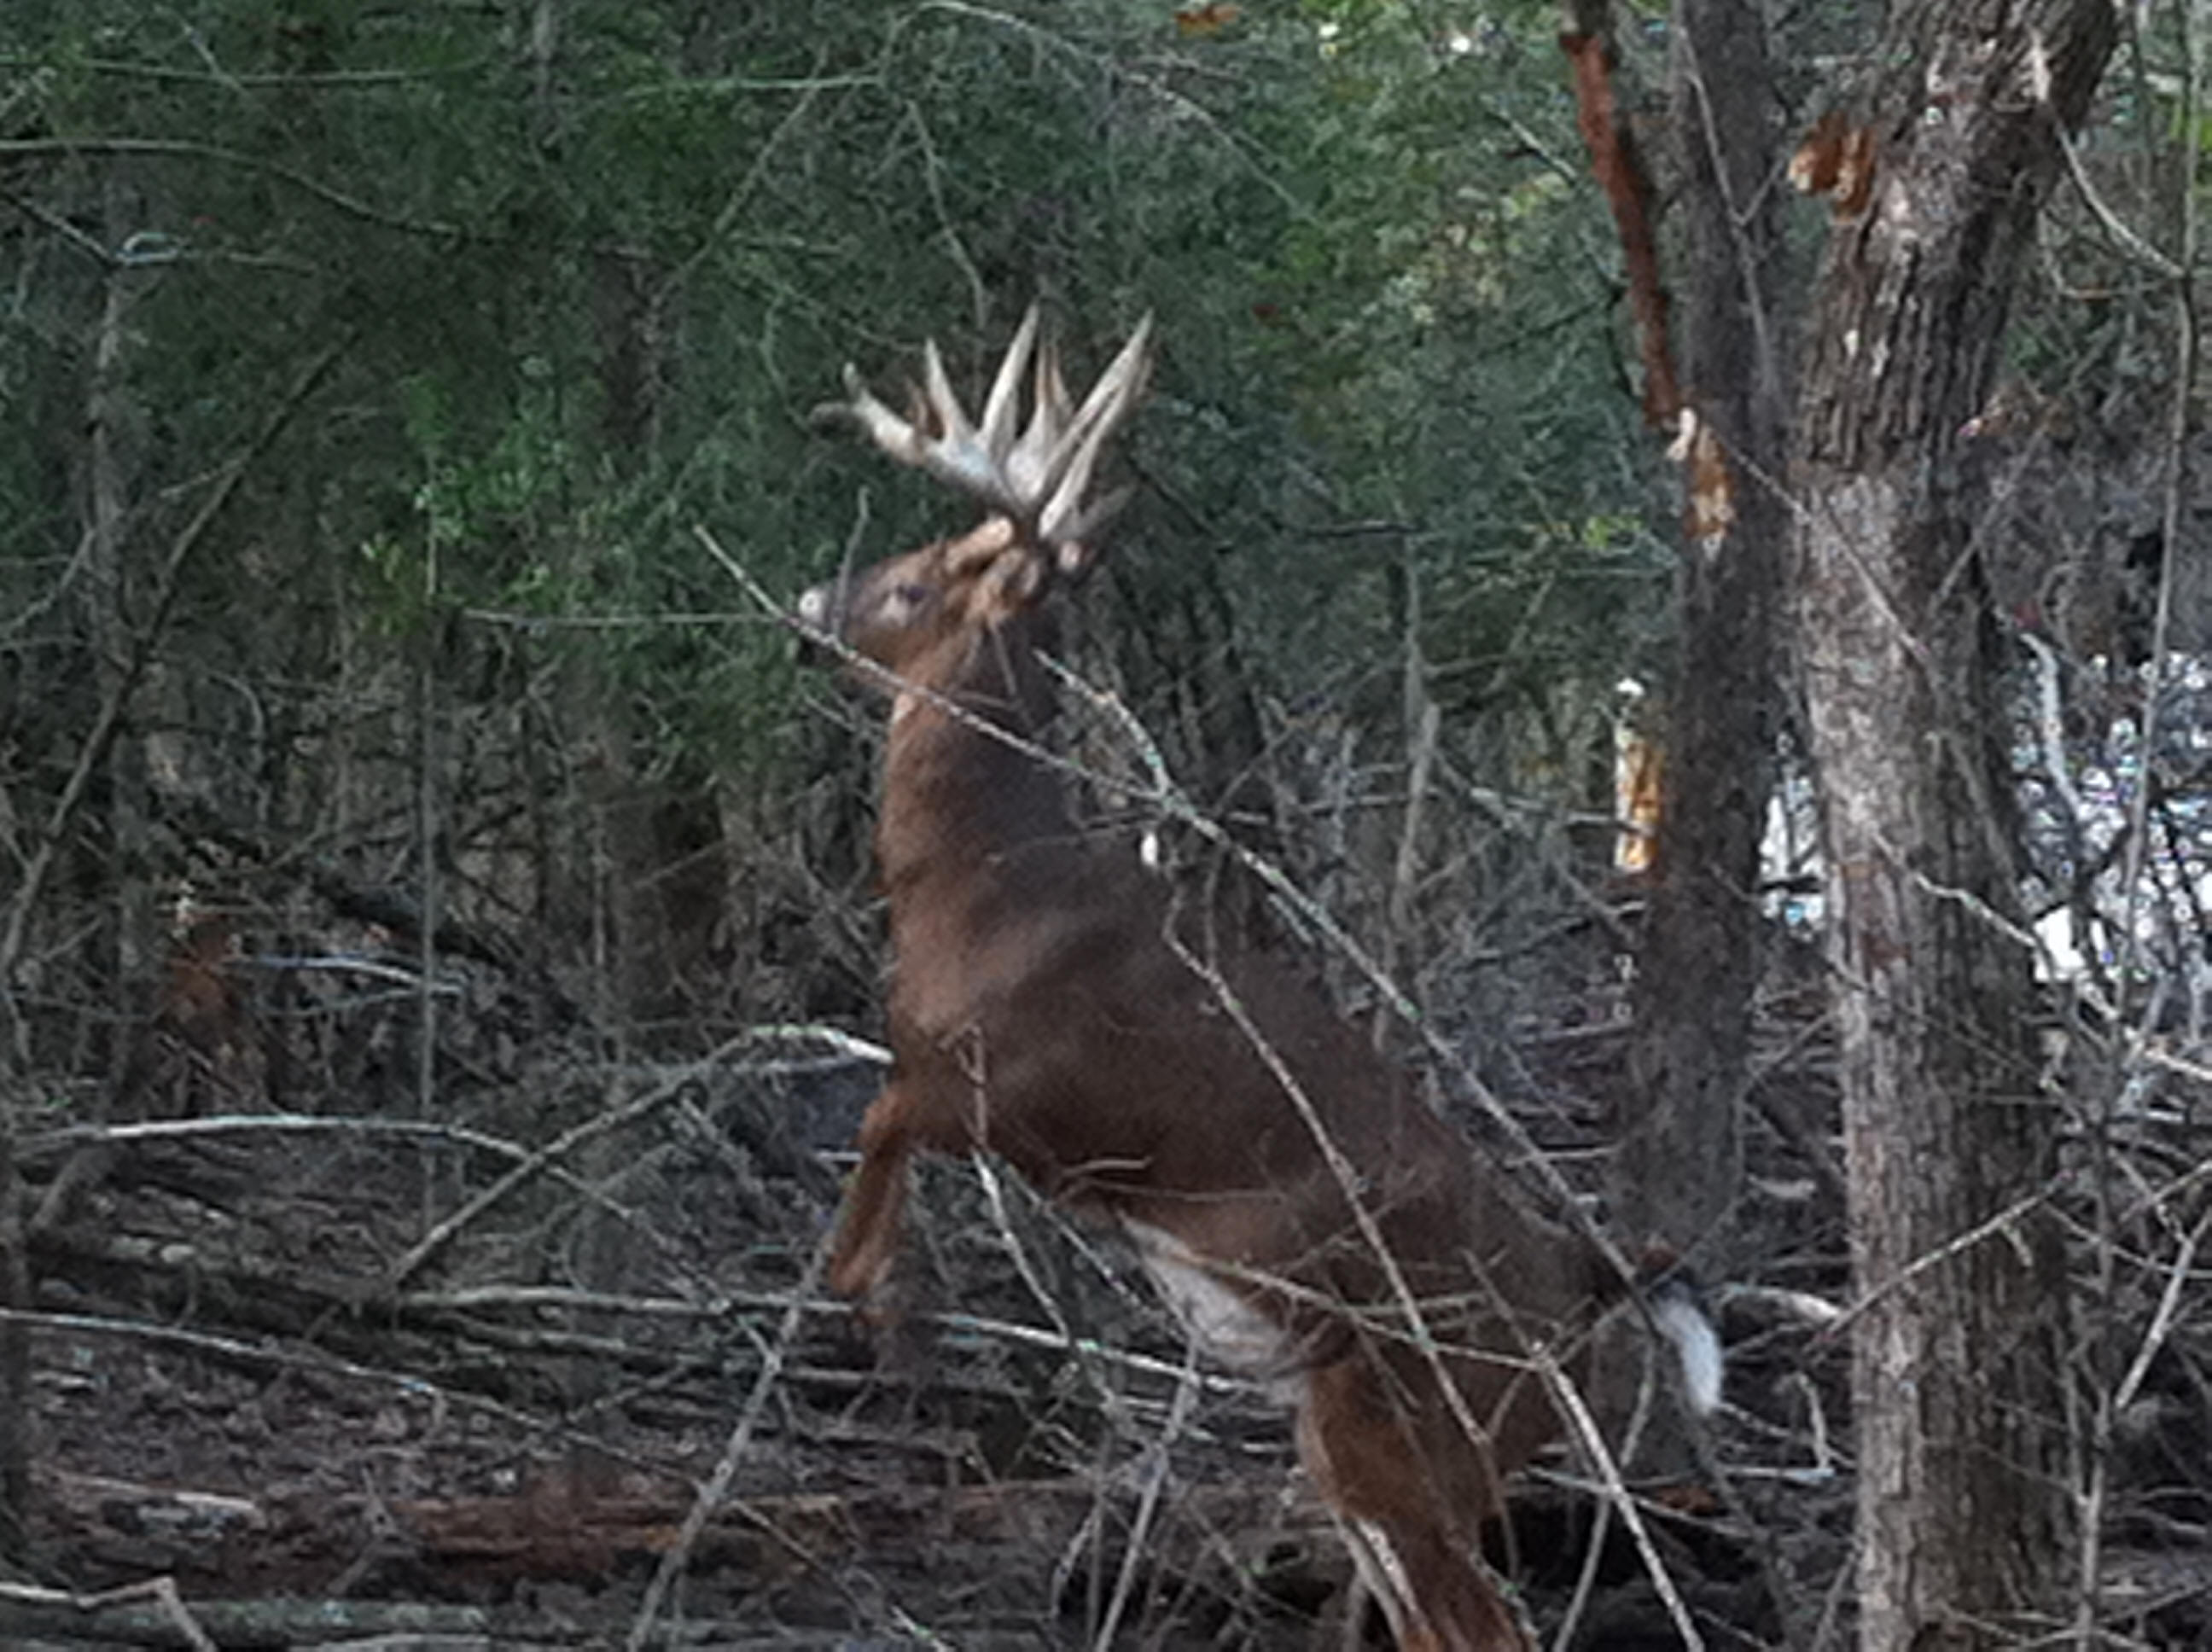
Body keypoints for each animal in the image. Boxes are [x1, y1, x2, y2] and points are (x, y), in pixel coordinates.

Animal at [796, 308, 1721, 1651]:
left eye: (917, 579)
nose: (815, 596)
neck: (978, 886)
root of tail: (1580, 1293)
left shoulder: (1013, 1089)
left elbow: (876, 1123)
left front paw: (864, 1296)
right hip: (1399, 1445)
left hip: (1410, 1421)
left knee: (1478, 1621)